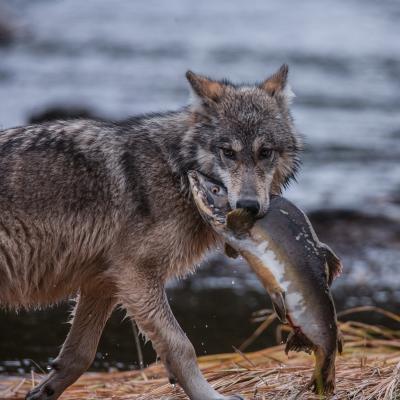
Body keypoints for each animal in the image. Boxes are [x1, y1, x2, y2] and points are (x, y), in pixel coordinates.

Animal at [0, 64, 300, 398]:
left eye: (265, 152)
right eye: (228, 152)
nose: (248, 205)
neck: (177, 171)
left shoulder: (102, 282)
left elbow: (79, 355)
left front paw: (44, 390)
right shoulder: (136, 276)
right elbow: (181, 347)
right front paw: (210, 395)